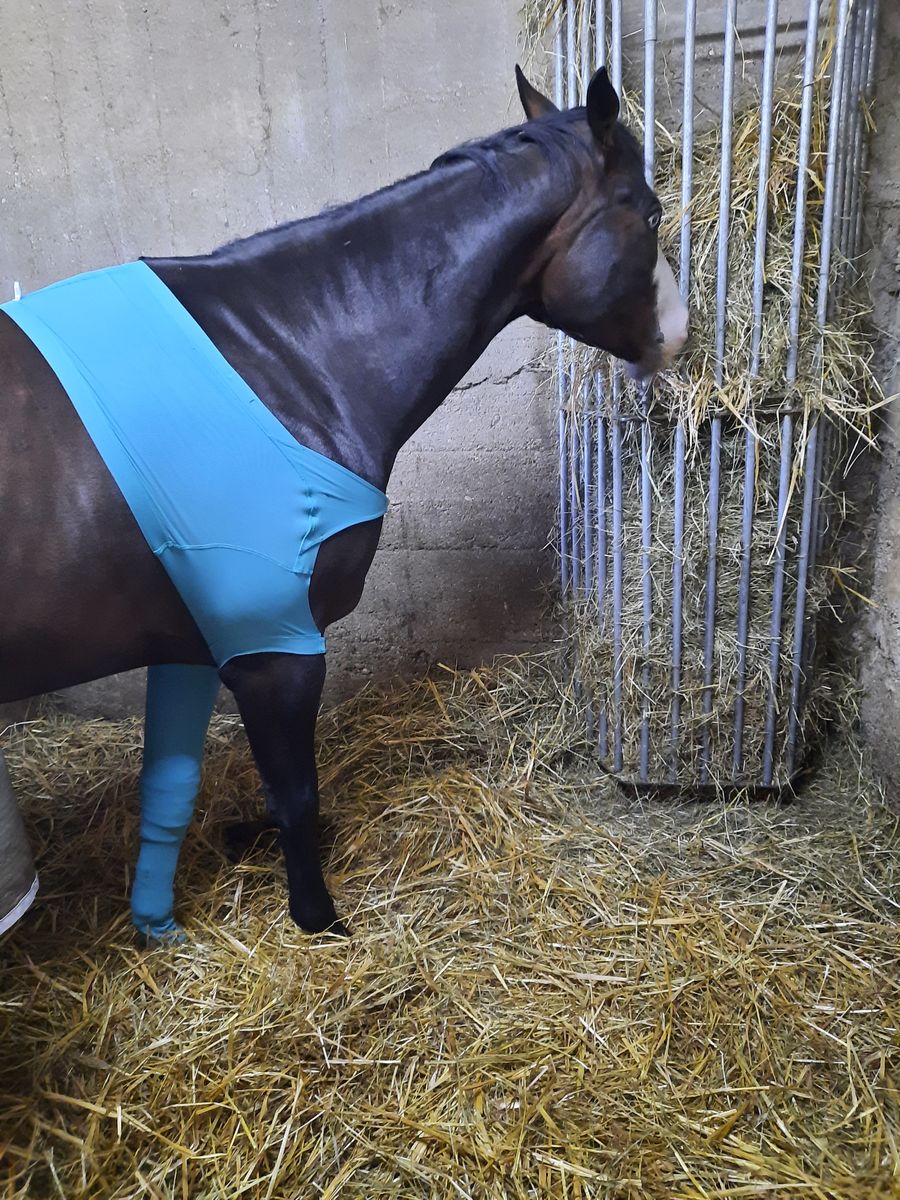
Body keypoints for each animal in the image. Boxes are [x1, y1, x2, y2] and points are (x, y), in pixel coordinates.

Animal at [0, 66, 687, 940]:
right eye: (650, 211)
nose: (683, 331)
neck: (288, 359)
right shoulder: (274, 648)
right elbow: (295, 797)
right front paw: (318, 919)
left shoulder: (189, 647)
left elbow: (172, 790)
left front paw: (159, 923)